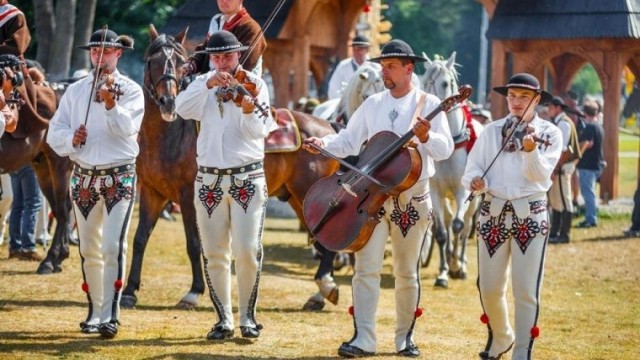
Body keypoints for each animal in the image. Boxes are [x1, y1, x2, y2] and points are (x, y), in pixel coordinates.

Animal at [0, 58, 73, 272]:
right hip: (43, 168)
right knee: (60, 208)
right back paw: (59, 256)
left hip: (60, 165)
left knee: (62, 209)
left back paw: (50, 260)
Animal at [121, 25, 340, 310]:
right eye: (152, 61)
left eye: (181, 63)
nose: (169, 102)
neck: (170, 135)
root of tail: (328, 128)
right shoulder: (151, 192)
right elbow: (139, 238)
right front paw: (129, 291)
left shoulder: (188, 197)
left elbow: (194, 244)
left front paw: (193, 292)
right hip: (298, 199)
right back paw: (320, 293)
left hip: (307, 195)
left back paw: (325, 286)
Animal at [418, 51, 482, 286]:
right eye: (424, 82)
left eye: (445, 83)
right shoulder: (435, 191)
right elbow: (441, 232)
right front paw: (443, 272)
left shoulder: (462, 190)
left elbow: (458, 226)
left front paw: (455, 265)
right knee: (446, 222)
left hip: (474, 198)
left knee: (465, 227)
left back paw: (460, 263)